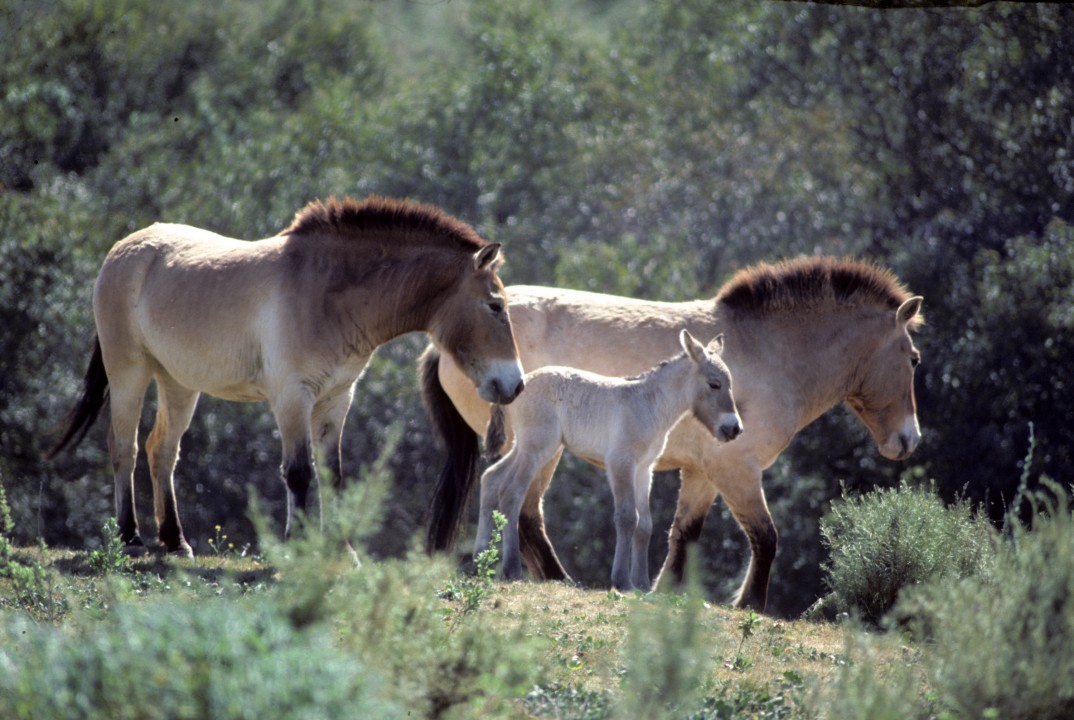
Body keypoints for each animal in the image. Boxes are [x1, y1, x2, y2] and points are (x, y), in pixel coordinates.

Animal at [48, 197, 526, 558]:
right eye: (495, 305)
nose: (515, 384)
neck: (328, 294)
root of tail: (123, 250)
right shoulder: (292, 398)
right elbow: (297, 472)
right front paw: (297, 546)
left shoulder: (336, 399)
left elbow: (333, 475)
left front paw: (342, 552)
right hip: (128, 372)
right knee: (124, 448)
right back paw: (130, 537)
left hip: (178, 383)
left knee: (161, 450)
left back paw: (175, 541)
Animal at [418, 256, 923, 610]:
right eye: (914, 358)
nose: (909, 440)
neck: (773, 350)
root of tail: (438, 344)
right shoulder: (735, 468)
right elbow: (765, 537)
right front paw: (750, 604)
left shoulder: (700, 473)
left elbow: (681, 534)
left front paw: (658, 589)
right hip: (540, 448)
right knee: (521, 506)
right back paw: (549, 577)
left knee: (507, 497)